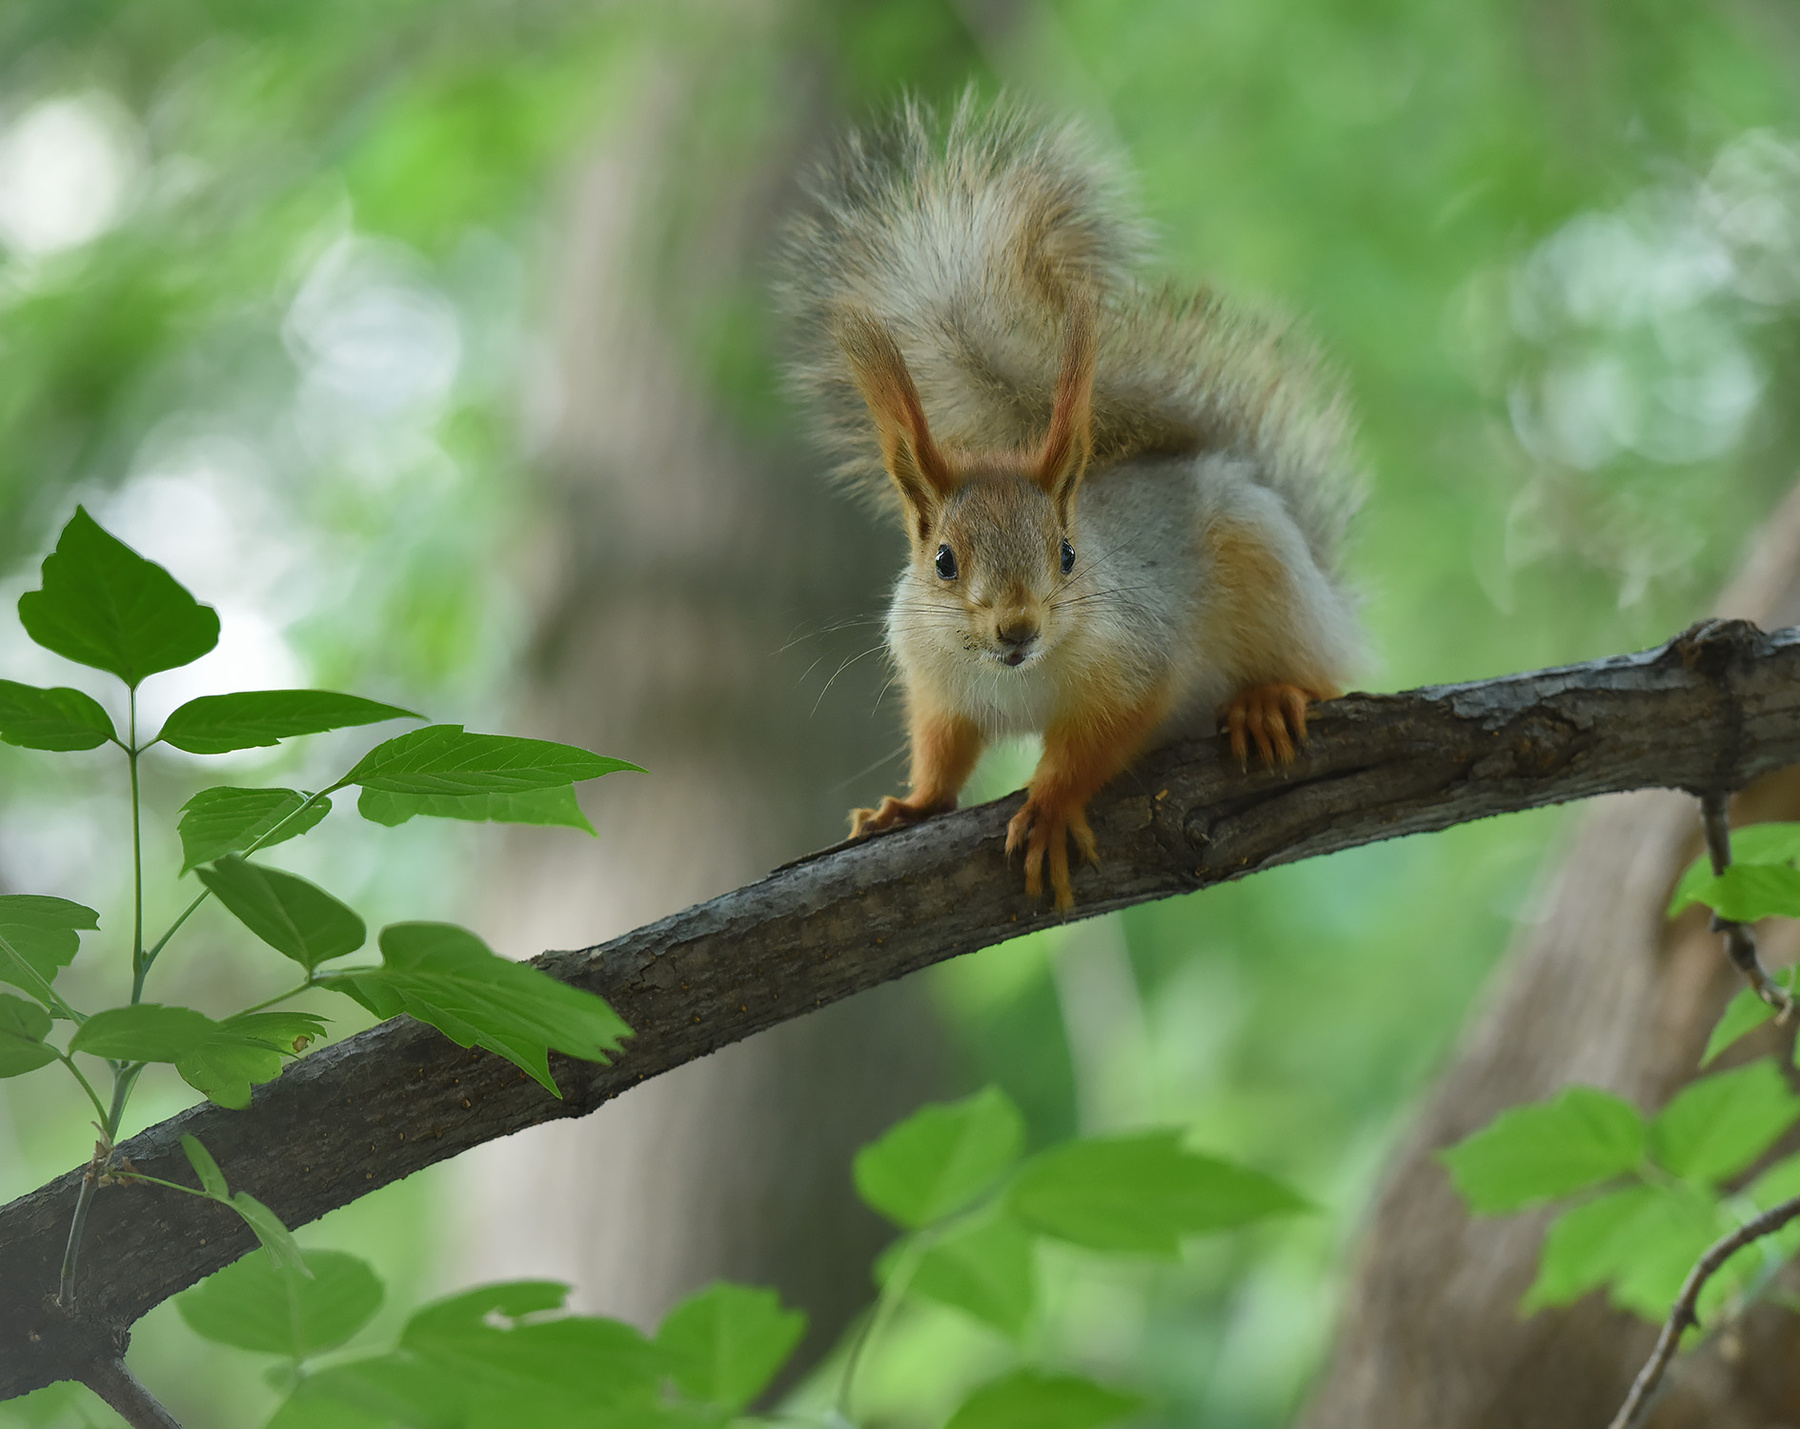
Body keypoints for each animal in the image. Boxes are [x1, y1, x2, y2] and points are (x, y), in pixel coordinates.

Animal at [779, 95, 1362, 912]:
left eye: (1067, 552)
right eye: (942, 561)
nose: (1018, 627)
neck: (1014, 675)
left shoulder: (1137, 662)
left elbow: (1095, 744)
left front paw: (1051, 806)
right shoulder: (936, 683)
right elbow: (942, 750)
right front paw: (911, 804)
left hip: (1274, 577)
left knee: (1326, 672)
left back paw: (1269, 698)